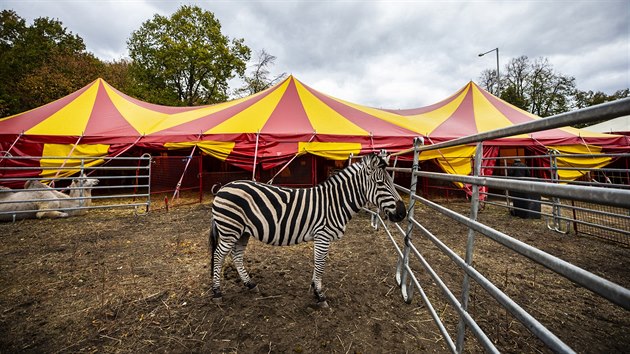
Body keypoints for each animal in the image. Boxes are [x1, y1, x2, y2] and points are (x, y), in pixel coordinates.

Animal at [210, 153, 408, 306]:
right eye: (381, 183)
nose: (403, 213)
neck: (335, 202)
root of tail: (223, 187)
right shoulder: (323, 236)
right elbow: (320, 265)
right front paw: (319, 295)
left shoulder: (320, 237)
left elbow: (317, 263)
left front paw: (314, 287)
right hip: (230, 230)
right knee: (219, 256)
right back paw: (217, 292)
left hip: (242, 231)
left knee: (236, 255)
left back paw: (249, 284)